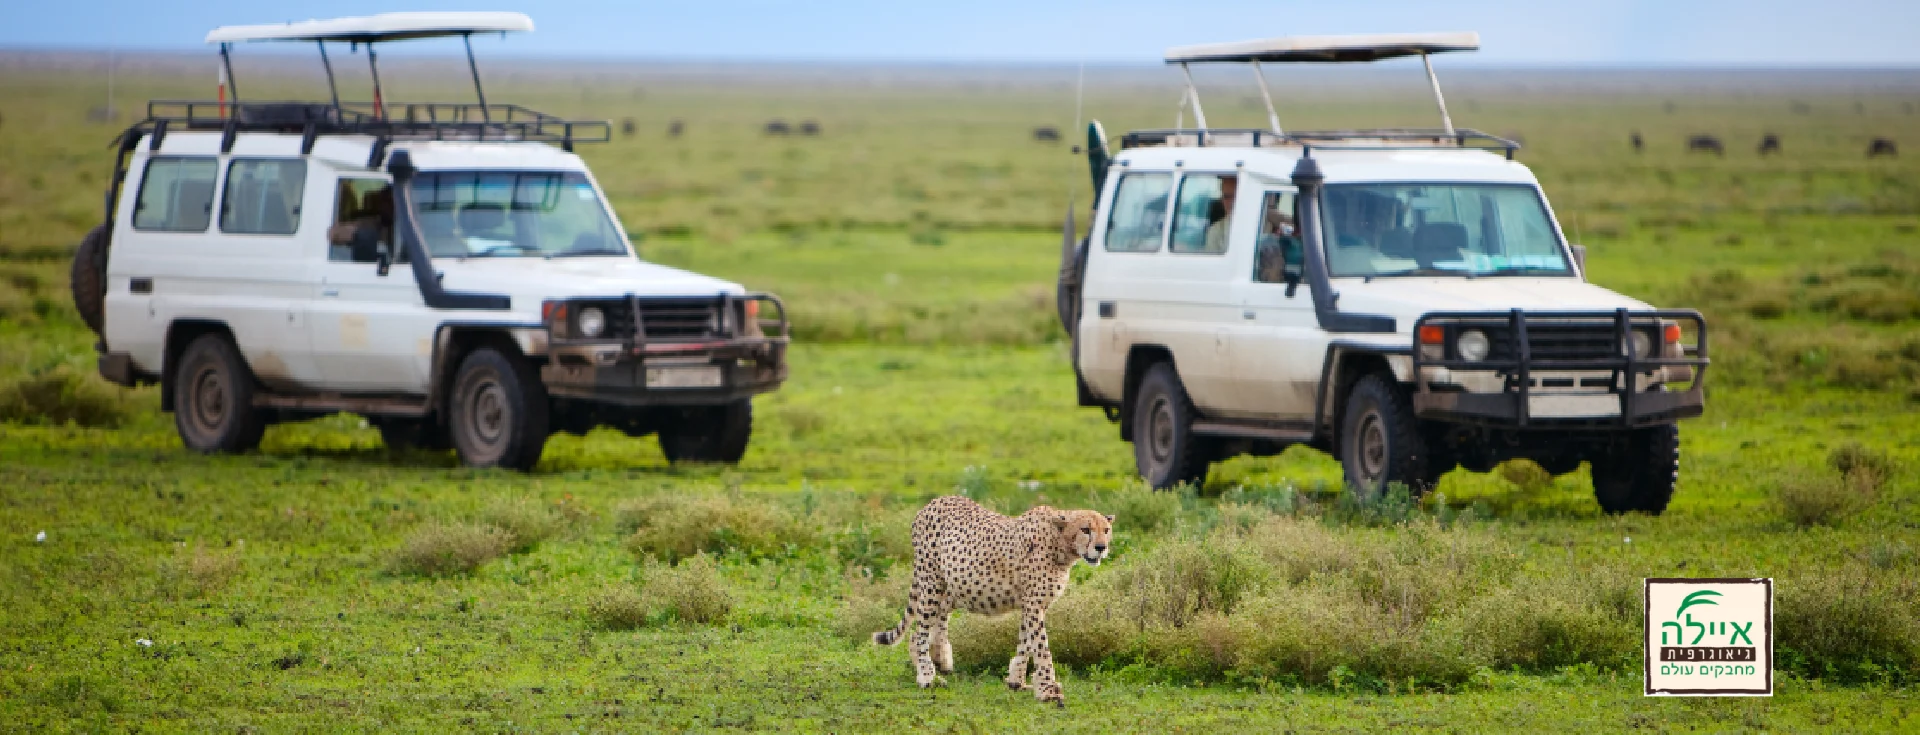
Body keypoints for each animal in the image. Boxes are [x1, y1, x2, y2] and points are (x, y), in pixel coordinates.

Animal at [871, 495, 1113, 706]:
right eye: (1085, 529)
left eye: (1106, 530)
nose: (1101, 547)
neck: (1060, 544)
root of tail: (933, 502)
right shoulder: (1034, 604)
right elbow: (1041, 648)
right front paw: (1048, 690)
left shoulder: (1032, 604)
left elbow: (1025, 643)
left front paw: (1017, 681)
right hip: (931, 582)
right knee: (920, 631)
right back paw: (927, 676)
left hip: (952, 586)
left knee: (930, 624)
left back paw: (941, 661)